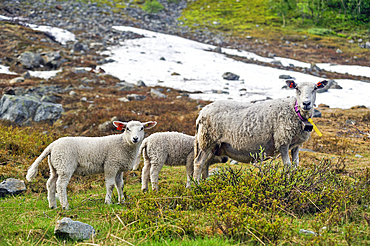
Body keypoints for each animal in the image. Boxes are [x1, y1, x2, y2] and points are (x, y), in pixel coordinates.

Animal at [25, 120, 156, 209]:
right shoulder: (110, 165)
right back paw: (65, 206)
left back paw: (53, 205)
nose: (135, 138)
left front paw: (122, 201)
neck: (123, 143)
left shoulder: (118, 168)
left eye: (142, 128)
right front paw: (108, 202)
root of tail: (51, 146)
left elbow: (120, 185)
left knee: (50, 183)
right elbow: (110, 185)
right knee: (60, 185)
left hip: (55, 166)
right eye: (127, 128)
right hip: (65, 165)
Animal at [192, 80, 328, 180]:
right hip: (208, 140)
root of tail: (201, 113)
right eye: (297, 89)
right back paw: (194, 186)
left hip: (215, 145)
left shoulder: (296, 145)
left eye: (315, 88)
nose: (306, 103)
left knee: (205, 164)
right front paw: (288, 184)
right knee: (198, 163)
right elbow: (287, 166)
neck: (295, 111)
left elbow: (295, 166)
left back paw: (204, 185)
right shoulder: (282, 141)